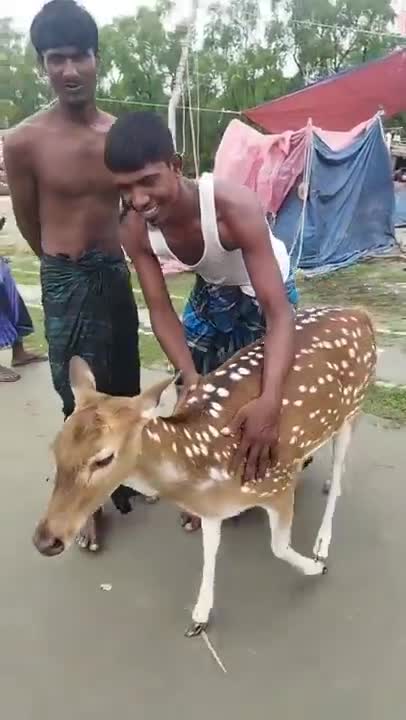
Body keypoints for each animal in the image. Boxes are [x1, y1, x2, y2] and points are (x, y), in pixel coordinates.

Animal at [33, 306, 376, 637]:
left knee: (339, 470)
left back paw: (322, 543)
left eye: (104, 458)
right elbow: (210, 550)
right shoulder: (212, 508)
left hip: (353, 408)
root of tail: (362, 314)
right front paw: (199, 617)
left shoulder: (278, 483)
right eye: (55, 447)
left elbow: (278, 547)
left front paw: (315, 568)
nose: (45, 541)